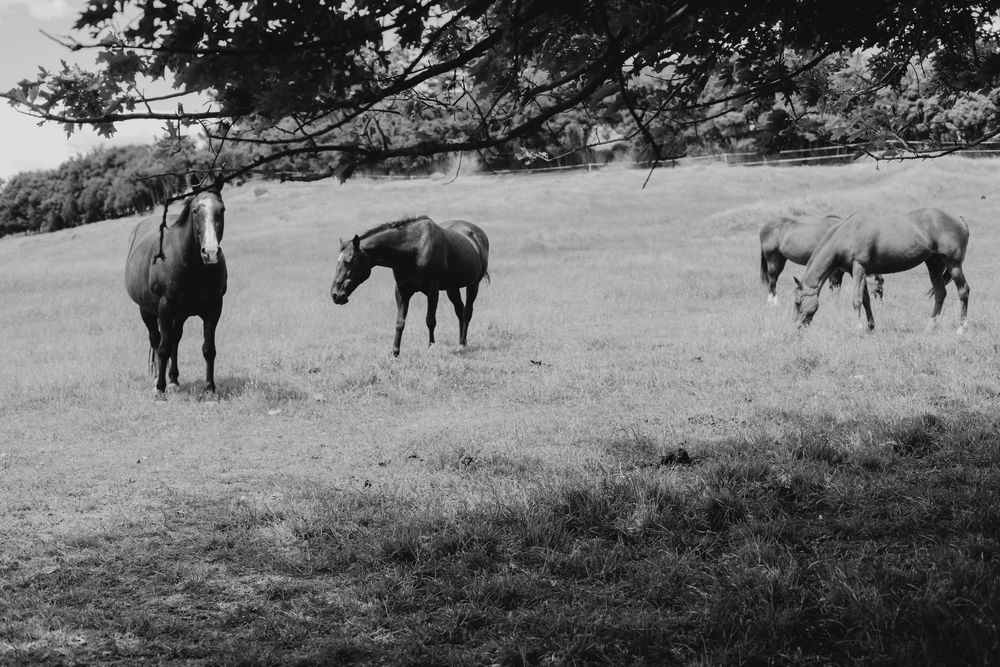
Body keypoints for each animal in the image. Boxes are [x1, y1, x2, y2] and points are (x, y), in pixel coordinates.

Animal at [125, 182, 227, 396]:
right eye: (195, 211)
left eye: (221, 210)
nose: (210, 252)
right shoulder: (165, 308)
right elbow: (163, 347)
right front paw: (160, 390)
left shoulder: (214, 308)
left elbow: (208, 349)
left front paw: (209, 389)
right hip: (146, 310)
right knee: (156, 339)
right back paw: (158, 379)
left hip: (180, 315)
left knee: (175, 339)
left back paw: (173, 379)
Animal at [330, 216, 489, 356]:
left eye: (348, 261)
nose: (335, 295)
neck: (413, 249)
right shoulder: (402, 291)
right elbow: (400, 322)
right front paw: (395, 352)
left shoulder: (433, 291)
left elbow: (430, 320)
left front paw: (431, 347)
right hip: (452, 287)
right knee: (460, 310)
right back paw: (461, 343)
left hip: (473, 285)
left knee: (467, 312)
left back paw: (462, 344)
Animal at [793, 208, 969, 333]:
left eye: (797, 302)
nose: (796, 326)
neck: (848, 234)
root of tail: (959, 219)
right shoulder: (857, 271)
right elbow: (865, 299)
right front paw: (871, 326)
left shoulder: (859, 268)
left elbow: (856, 300)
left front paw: (858, 328)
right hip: (934, 265)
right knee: (940, 293)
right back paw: (929, 327)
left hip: (953, 264)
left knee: (963, 291)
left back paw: (962, 328)